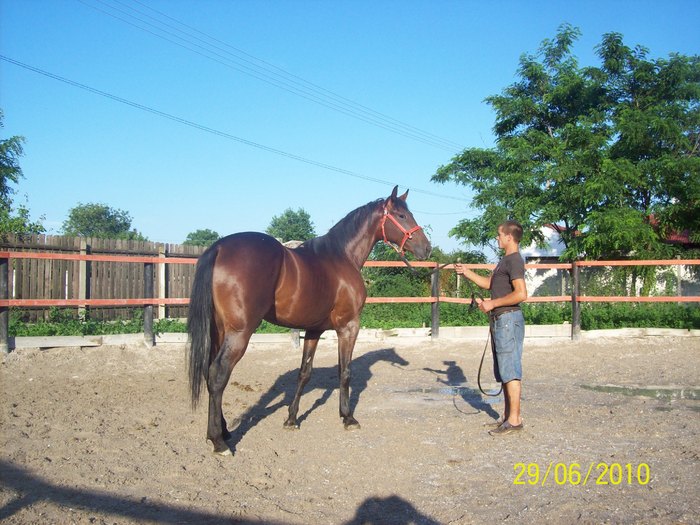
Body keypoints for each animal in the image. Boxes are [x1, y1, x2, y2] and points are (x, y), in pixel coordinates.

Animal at [186, 185, 432, 454]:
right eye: (401, 215)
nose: (427, 248)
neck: (342, 257)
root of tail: (219, 248)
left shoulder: (314, 330)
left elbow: (304, 373)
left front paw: (292, 419)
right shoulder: (348, 327)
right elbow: (345, 371)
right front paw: (348, 417)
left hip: (219, 331)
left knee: (210, 374)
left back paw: (223, 431)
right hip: (239, 333)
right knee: (218, 375)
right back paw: (219, 441)